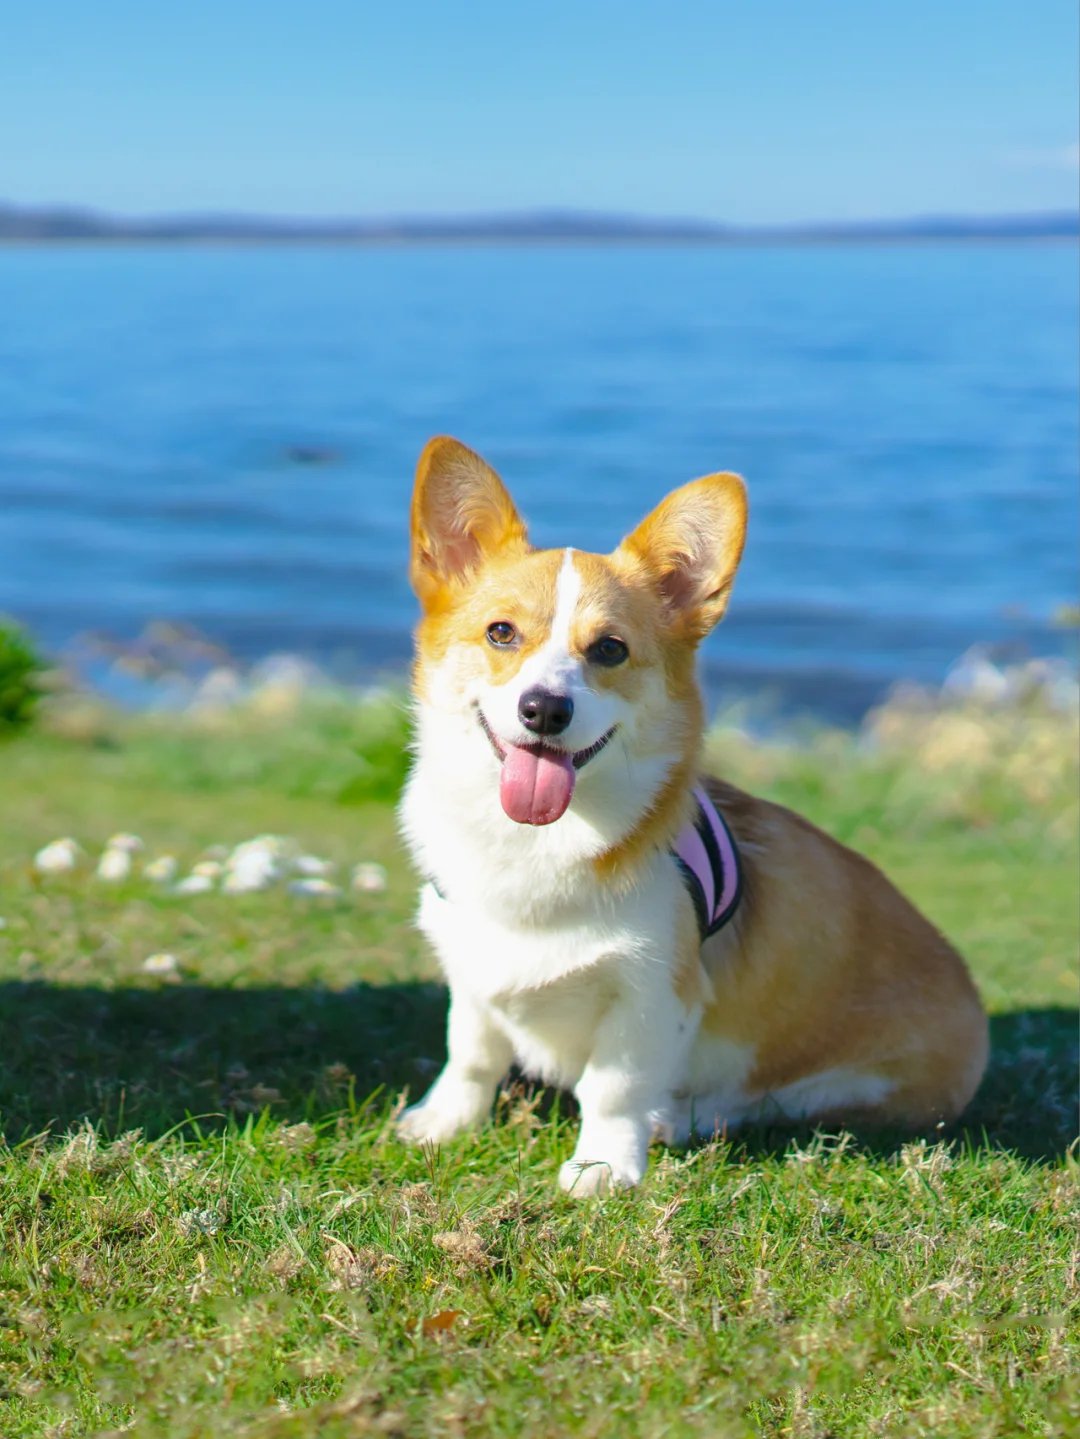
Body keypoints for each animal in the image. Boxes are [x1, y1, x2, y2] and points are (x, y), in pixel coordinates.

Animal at [396, 434, 989, 1191]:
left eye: (610, 648)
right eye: (501, 633)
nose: (544, 710)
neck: (534, 845)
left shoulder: (652, 991)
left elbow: (613, 1086)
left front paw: (602, 1166)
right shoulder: (471, 970)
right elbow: (470, 1053)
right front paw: (442, 1123)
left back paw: (670, 1120)